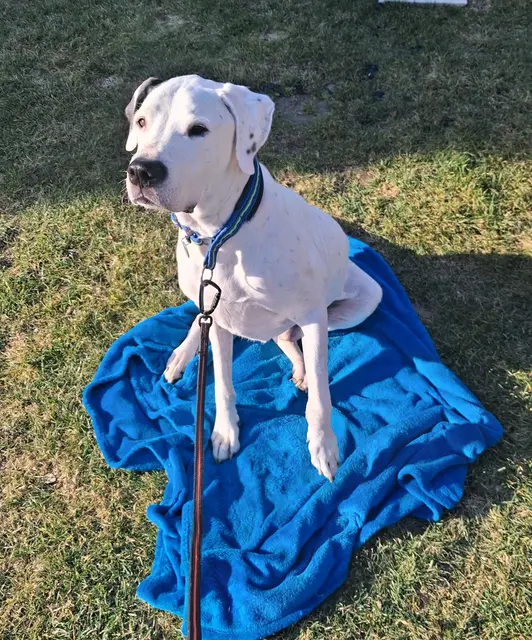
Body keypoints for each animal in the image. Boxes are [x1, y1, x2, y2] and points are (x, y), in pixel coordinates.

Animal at [125, 75, 382, 481]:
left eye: (198, 130)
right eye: (141, 121)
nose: (141, 171)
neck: (221, 238)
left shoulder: (313, 316)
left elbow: (321, 395)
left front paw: (324, 446)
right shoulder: (218, 319)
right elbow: (223, 383)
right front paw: (224, 432)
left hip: (366, 298)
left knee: (289, 338)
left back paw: (299, 367)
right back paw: (182, 354)